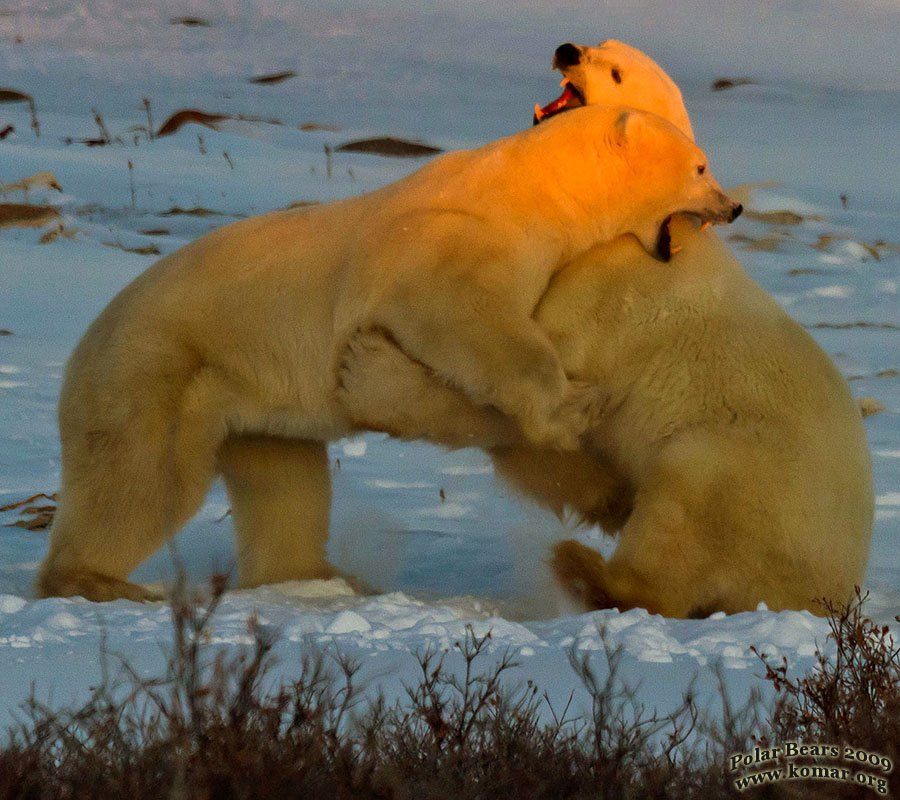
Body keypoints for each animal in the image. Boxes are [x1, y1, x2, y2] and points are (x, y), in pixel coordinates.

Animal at [37, 101, 740, 600]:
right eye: (701, 165)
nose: (732, 206)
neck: (533, 194)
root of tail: (81, 348)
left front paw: (613, 493)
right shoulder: (451, 245)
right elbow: (474, 327)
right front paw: (571, 405)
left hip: (250, 395)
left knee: (285, 482)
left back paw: (322, 578)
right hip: (161, 367)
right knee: (141, 480)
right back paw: (95, 579)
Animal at [336, 39, 872, 620]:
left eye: (614, 70)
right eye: (601, 46)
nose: (566, 49)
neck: (653, 235)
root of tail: (827, 591)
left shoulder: (603, 297)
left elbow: (521, 363)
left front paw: (365, 368)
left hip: (741, 471)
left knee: (681, 524)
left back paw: (580, 565)